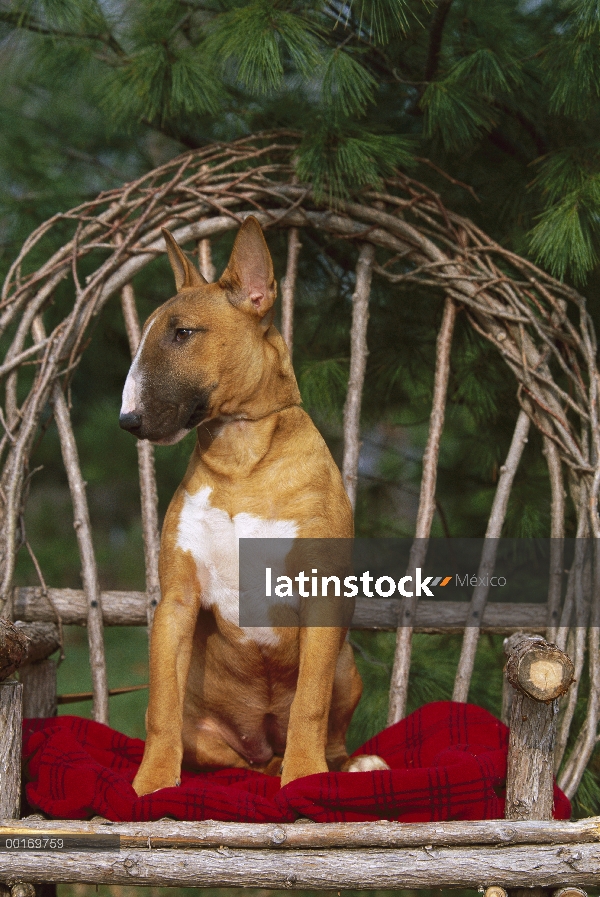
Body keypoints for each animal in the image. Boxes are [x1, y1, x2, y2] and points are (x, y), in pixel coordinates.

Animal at [120, 217, 390, 792]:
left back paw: (347, 764)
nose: (128, 421)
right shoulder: (175, 604)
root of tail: (262, 740)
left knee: (326, 735)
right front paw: (151, 785)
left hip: (345, 665)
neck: (241, 459)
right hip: (214, 730)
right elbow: (160, 710)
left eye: (183, 333)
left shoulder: (321, 600)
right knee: (236, 760)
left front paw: (305, 779)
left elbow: (310, 705)